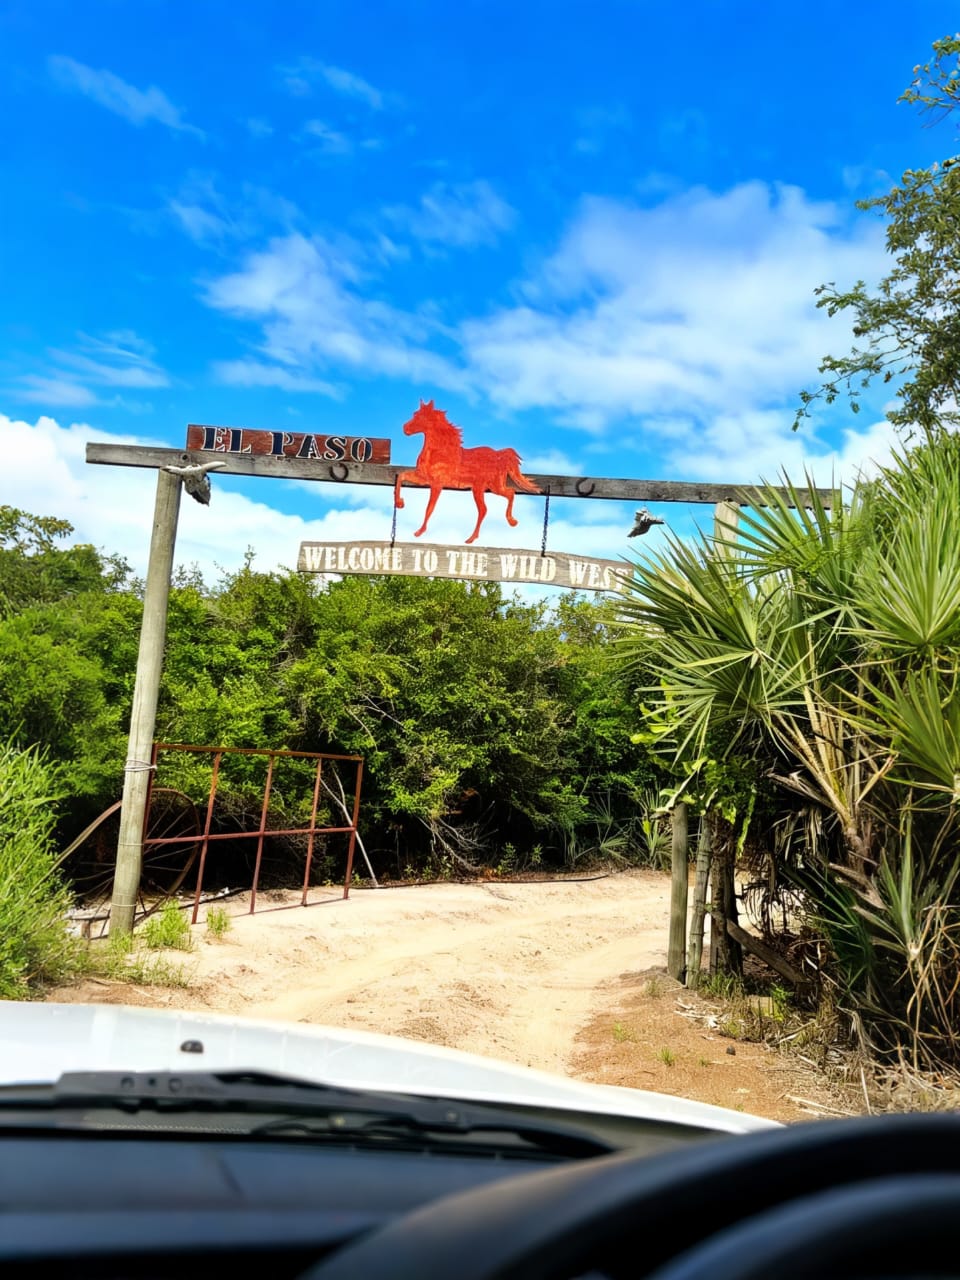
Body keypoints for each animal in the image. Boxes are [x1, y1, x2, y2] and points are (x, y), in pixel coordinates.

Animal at [394, 400, 541, 545]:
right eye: (415, 414)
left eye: (420, 416)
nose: (404, 428)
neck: (439, 452)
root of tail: (499, 456)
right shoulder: (423, 478)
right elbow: (401, 476)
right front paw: (400, 503)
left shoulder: (437, 484)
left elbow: (429, 508)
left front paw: (419, 532)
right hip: (494, 487)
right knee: (510, 493)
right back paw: (511, 521)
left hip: (480, 488)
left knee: (484, 509)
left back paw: (471, 538)